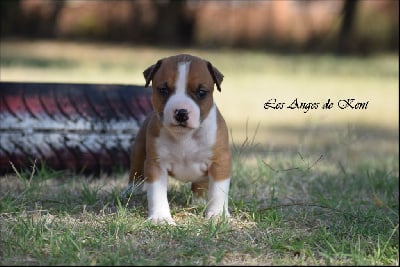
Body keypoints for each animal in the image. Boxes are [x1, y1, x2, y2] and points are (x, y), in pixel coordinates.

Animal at [124, 54, 231, 224]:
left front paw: (217, 215)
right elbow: (157, 194)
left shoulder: (219, 163)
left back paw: (199, 201)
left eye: (201, 92)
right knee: (135, 172)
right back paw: (131, 192)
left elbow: (218, 192)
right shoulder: (156, 164)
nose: (181, 112)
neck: (184, 136)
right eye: (163, 90)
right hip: (139, 153)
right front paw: (160, 217)